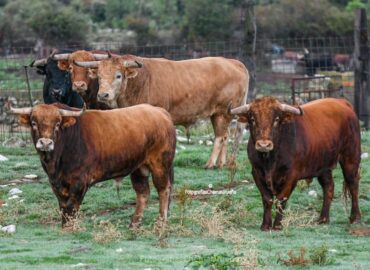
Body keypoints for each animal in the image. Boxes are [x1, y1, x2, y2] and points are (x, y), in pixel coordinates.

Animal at [12, 104, 177, 227]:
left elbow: (72, 206)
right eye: (34, 122)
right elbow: (63, 206)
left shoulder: (79, 182)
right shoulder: (56, 183)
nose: (45, 143)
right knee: (143, 192)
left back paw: (161, 222)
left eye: (57, 123)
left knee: (164, 190)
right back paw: (134, 224)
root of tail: (161, 112)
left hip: (160, 164)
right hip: (138, 168)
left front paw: (70, 228)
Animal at [73, 55, 250, 169]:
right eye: (99, 76)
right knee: (226, 135)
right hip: (220, 114)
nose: (103, 95)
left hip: (223, 111)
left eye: (118, 75)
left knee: (221, 136)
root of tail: (233, 62)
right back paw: (222, 163)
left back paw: (211, 163)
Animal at [231, 97, 362, 230]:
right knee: (329, 187)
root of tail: (342, 102)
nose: (263, 145)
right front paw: (265, 225)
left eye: (276, 119)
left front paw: (277, 225)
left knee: (353, 184)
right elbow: (267, 199)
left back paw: (355, 218)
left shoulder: (291, 175)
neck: (270, 160)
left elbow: (281, 199)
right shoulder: (256, 172)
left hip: (351, 158)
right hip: (323, 166)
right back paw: (323, 219)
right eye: (252, 119)